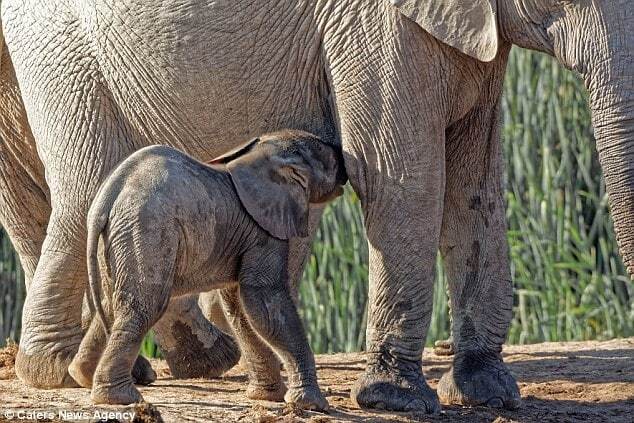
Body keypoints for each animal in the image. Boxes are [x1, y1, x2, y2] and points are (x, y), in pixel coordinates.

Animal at [69, 132, 346, 410]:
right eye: (330, 158)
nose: (345, 166)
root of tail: (107, 197)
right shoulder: (264, 231)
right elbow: (263, 301)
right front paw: (312, 404)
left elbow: (239, 308)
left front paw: (267, 397)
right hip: (148, 231)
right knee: (144, 307)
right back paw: (121, 398)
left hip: (116, 240)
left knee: (112, 304)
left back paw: (88, 379)